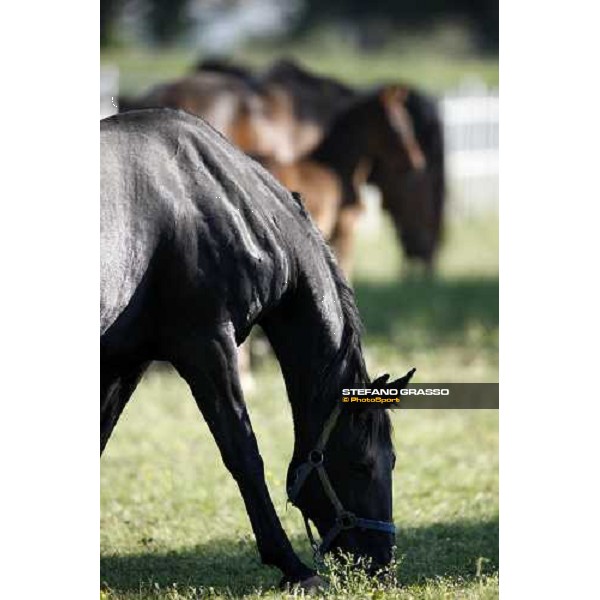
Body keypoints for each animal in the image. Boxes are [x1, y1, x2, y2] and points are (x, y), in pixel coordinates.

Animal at [101, 110, 414, 588]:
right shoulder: (208, 345)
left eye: (394, 460)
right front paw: (293, 566)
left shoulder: (128, 359)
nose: (382, 565)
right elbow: (244, 454)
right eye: (363, 464)